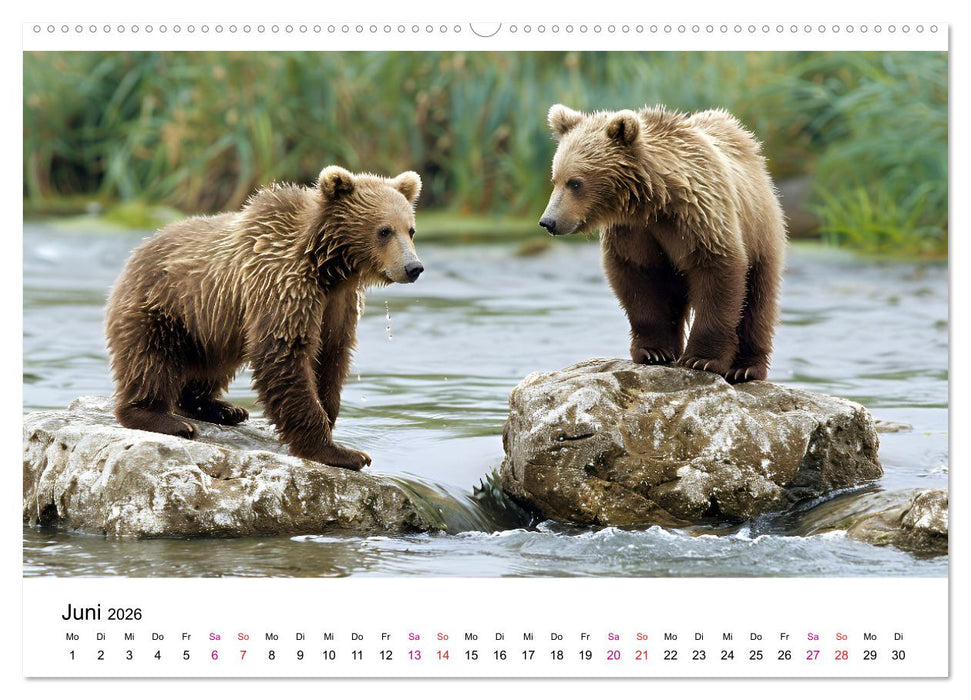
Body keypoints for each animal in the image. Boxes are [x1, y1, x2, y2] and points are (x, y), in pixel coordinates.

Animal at [105, 166, 423, 470]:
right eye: (384, 231)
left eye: (411, 230)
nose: (413, 267)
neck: (327, 266)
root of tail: (138, 250)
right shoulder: (283, 285)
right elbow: (284, 354)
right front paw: (341, 452)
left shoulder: (338, 305)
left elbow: (332, 357)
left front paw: (331, 421)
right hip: (162, 307)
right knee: (149, 360)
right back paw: (165, 419)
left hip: (212, 325)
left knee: (213, 364)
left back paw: (222, 408)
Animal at [539, 104, 787, 383]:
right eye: (555, 179)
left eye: (575, 182)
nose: (548, 221)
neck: (654, 201)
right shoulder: (634, 232)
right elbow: (637, 280)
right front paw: (654, 351)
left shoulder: (699, 217)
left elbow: (718, 269)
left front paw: (702, 359)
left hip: (760, 227)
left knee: (758, 298)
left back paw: (746, 368)